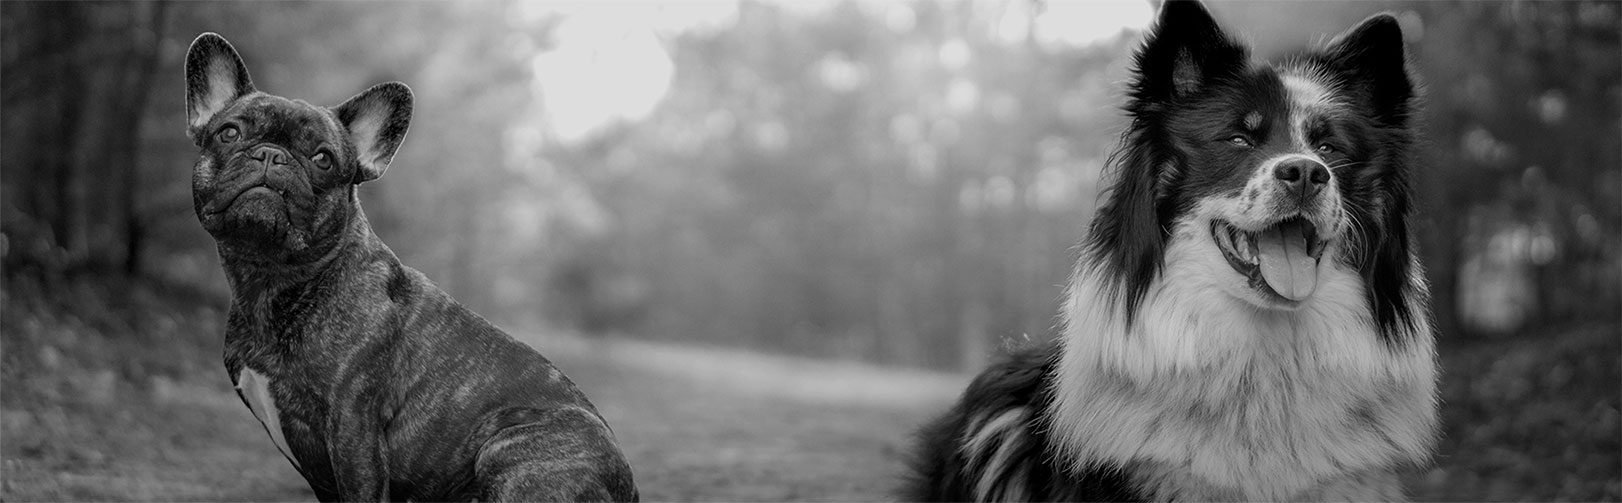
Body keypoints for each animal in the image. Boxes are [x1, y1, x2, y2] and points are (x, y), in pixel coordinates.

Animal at [179, 33, 632, 499]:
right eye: (229, 133)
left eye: (323, 159)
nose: (271, 155)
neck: (273, 277)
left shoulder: (353, 434)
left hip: (508, 448)